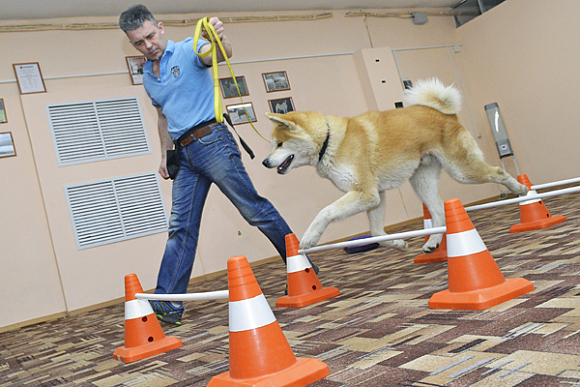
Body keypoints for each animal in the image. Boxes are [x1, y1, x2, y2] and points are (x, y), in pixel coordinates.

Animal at [262, 78, 532, 252]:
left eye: (279, 144)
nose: (264, 162)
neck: (329, 141)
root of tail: (445, 113)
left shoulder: (366, 193)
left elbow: (324, 212)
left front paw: (309, 238)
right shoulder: (375, 196)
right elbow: (377, 234)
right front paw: (399, 243)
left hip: (462, 172)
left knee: (498, 172)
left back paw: (522, 190)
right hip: (422, 180)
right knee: (439, 213)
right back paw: (432, 242)